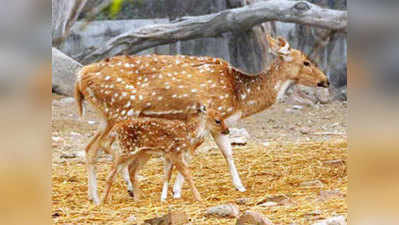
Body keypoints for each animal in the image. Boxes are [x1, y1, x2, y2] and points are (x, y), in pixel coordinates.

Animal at [74, 34, 328, 204]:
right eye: (306, 61)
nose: (325, 80)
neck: (240, 96)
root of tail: (80, 78)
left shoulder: (219, 123)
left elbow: (226, 153)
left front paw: (239, 186)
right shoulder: (210, 116)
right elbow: (193, 155)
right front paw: (178, 191)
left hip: (106, 116)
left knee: (90, 148)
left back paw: (95, 195)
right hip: (121, 111)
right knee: (106, 148)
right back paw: (118, 191)